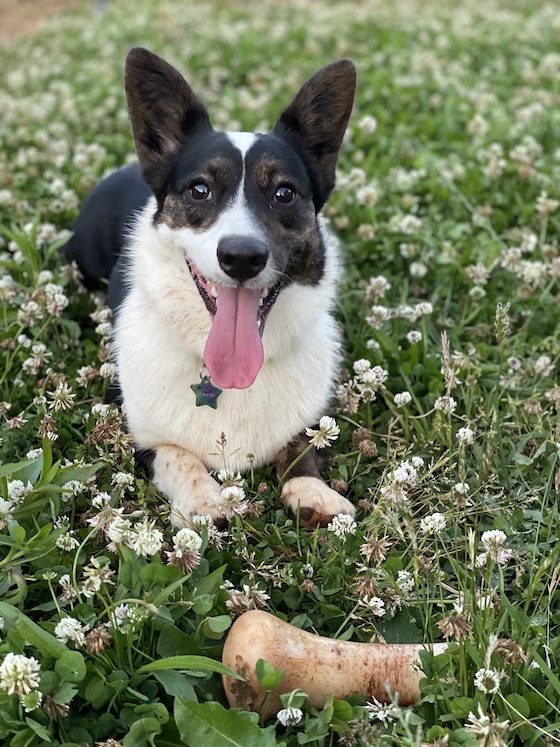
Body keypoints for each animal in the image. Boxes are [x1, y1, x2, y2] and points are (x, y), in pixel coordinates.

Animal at [63, 49, 356, 528]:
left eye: (284, 193)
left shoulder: (310, 420)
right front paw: (205, 501)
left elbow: (303, 446)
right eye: (200, 190)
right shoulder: (141, 432)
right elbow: (177, 455)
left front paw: (313, 492)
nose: (241, 256)